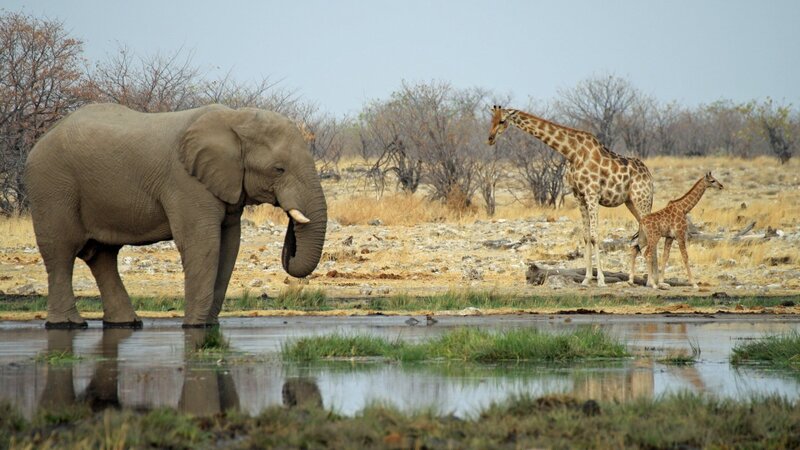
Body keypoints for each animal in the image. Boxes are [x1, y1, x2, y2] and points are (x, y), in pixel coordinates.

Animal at [25, 103, 327, 328]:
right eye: (279, 169)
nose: (290, 235)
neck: (234, 118)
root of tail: (40, 140)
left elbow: (229, 245)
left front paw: (209, 326)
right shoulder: (186, 182)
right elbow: (202, 243)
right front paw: (194, 326)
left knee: (102, 256)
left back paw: (126, 323)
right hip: (52, 186)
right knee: (61, 252)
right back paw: (67, 325)